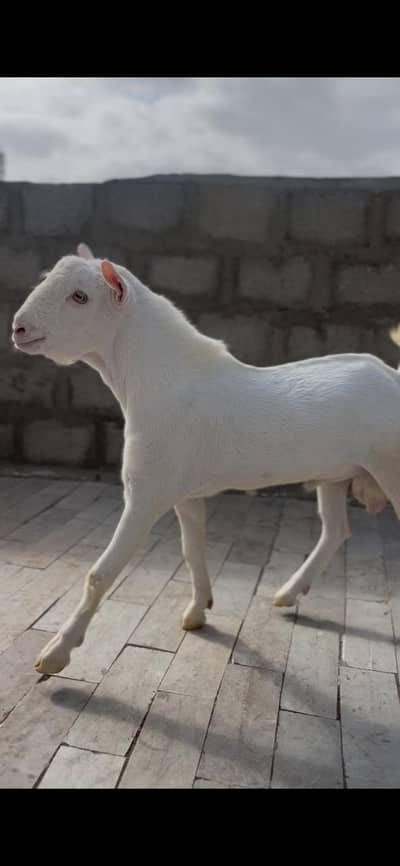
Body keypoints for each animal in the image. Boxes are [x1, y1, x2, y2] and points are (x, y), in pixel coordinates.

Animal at [11, 244, 400, 674]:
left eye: (79, 296)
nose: (19, 328)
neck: (163, 379)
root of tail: (393, 377)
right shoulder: (184, 493)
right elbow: (192, 548)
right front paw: (198, 611)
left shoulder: (146, 493)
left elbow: (100, 574)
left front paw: (55, 654)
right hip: (335, 475)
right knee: (335, 531)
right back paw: (287, 592)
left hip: (391, 466)